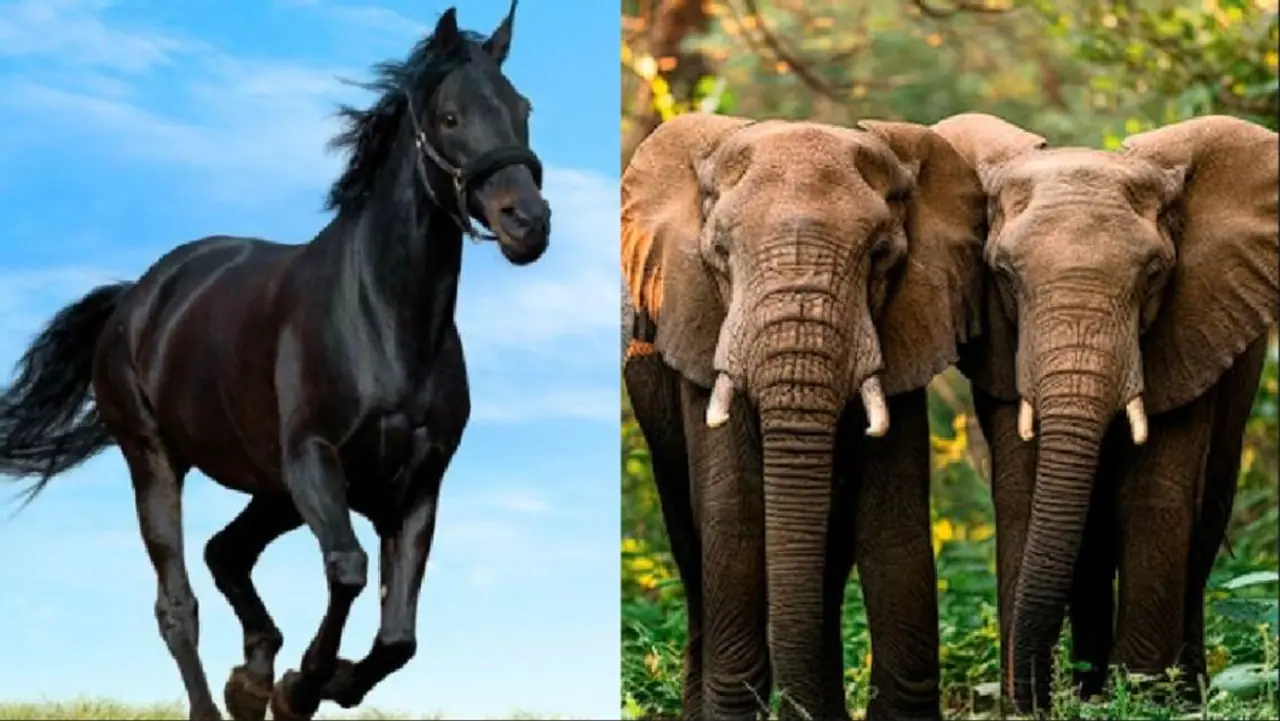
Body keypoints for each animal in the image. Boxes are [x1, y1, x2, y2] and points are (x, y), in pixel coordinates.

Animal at [620, 113, 987, 721]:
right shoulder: (699, 326)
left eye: (880, 254)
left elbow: (894, 529)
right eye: (720, 252)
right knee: (692, 545)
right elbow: (735, 521)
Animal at [930, 112, 1278, 714]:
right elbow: (1024, 494)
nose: (1032, 698)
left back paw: (1182, 692)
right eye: (1004, 274)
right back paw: (1090, 688)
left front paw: (1144, 699)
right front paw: (1033, 706)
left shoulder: (1192, 332)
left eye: (1155, 273)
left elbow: (1154, 497)